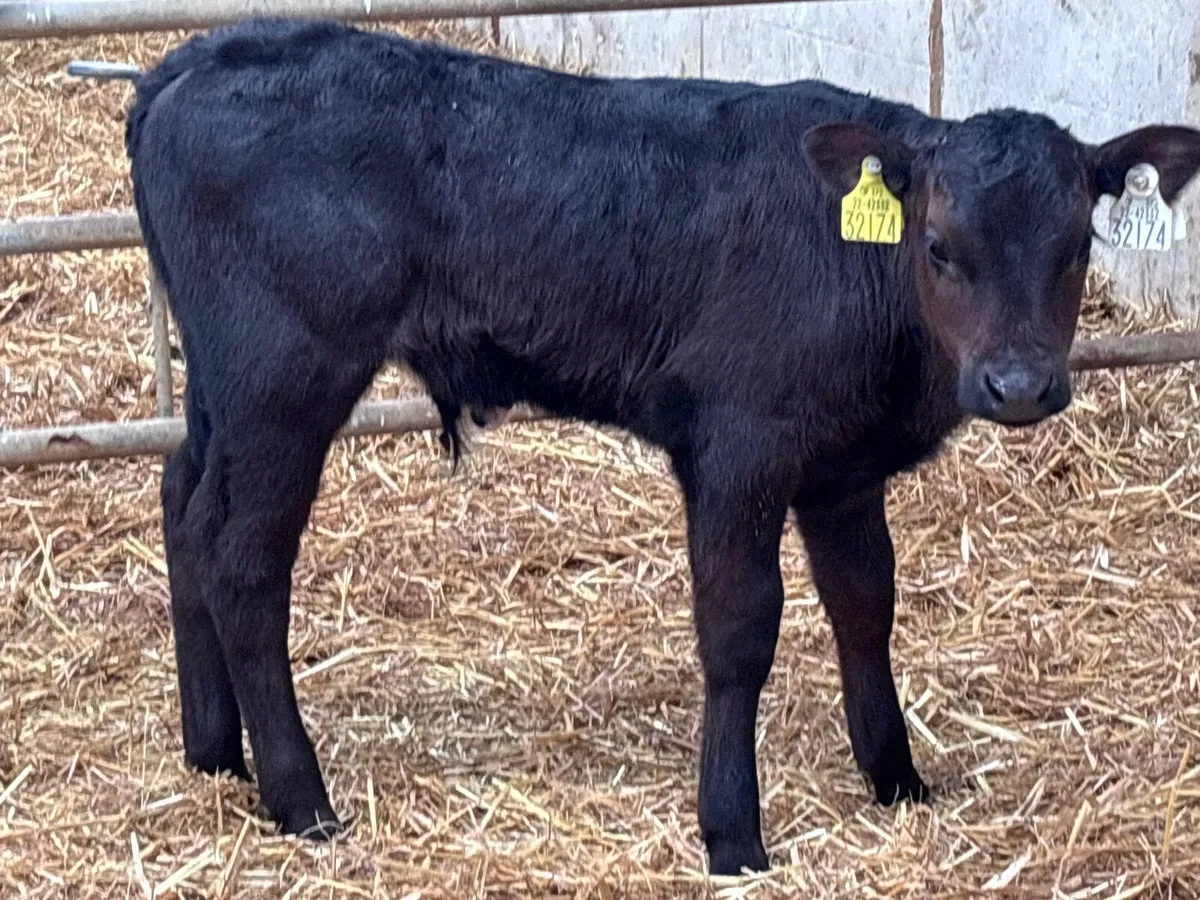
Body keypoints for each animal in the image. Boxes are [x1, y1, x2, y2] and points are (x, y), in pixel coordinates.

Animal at [124, 18, 1200, 875]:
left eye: (1078, 246)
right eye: (938, 246)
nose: (1018, 386)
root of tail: (197, 56)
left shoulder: (843, 470)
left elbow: (866, 607)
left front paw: (897, 780)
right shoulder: (739, 450)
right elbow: (739, 630)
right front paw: (732, 833)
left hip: (224, 386)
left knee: (183, 502)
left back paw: (213, 753)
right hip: (285, 377)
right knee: (242, 557)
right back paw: (301, 798)